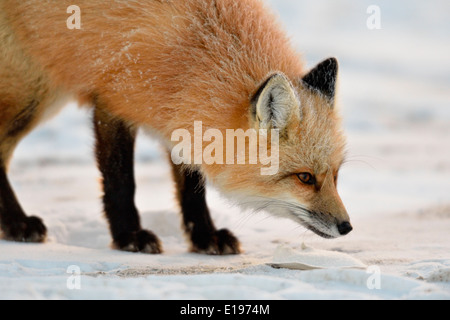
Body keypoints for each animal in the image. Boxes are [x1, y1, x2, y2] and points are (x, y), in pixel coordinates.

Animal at [0, 0, 352, 255]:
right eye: (304, 178)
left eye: (336, 176)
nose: (346, 227)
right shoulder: (113, 100)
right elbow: (121, 181)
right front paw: (129, 236)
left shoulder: (180, 113)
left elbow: (192, 187)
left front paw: (205, 237)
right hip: (33, 93)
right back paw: (17, 224)